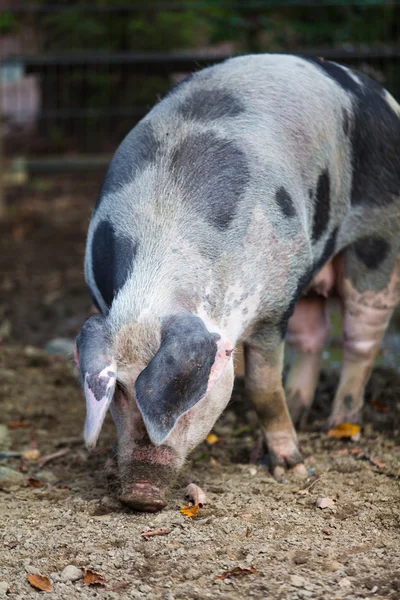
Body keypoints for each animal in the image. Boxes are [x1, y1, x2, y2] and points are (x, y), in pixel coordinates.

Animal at [74, 54, 400, 508]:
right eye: (119, 390)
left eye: (195, 393)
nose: (141, 494)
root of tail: (379, 92)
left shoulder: (271, 307)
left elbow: (262, 388)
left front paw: (291, 469)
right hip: (306, 271)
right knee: (313, 336)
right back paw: (301, 411)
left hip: (380, 240)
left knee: (362, 337)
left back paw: (339, 427)